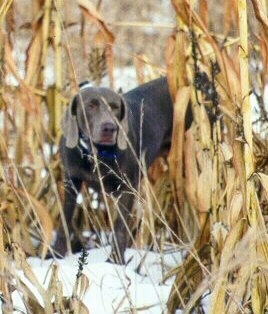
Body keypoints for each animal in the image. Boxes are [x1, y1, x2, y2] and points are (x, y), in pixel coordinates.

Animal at [54, 77, 191, 264]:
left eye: (115, 107)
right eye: (91, 105)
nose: (109, 128)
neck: (97, 154)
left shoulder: (126, 187)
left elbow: (120, 228)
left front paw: (115, 261)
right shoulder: (71, 180)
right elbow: (64, 222)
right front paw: (56, 255)